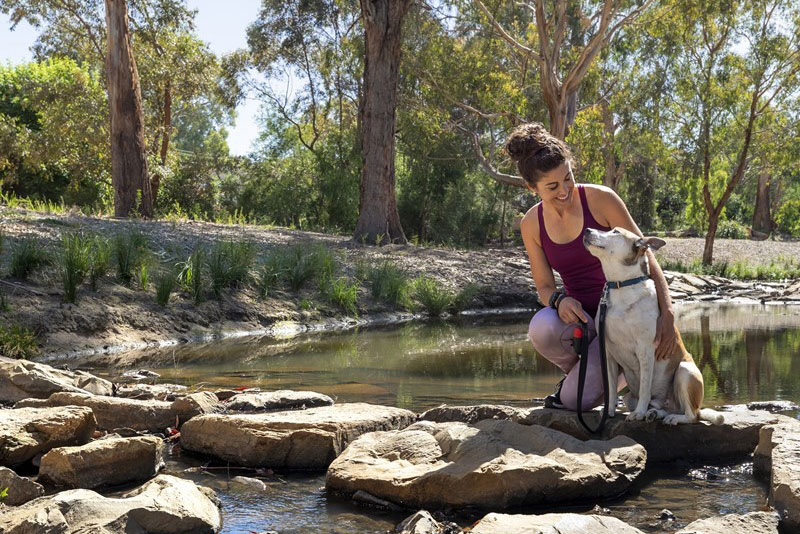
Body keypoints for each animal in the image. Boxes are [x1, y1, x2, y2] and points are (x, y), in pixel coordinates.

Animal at [580, 227, 724, 428]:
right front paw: (608, 411)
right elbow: (611, 388)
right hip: (631, 397)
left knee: (692, 415)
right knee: (663, 407)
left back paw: (670, 417)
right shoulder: (608, 353)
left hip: (685, 372)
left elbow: (644, 387)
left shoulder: (645, 350)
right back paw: (655, 413)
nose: (587, 230)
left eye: (615, 231)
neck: (621, 286)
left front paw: (639, 413)